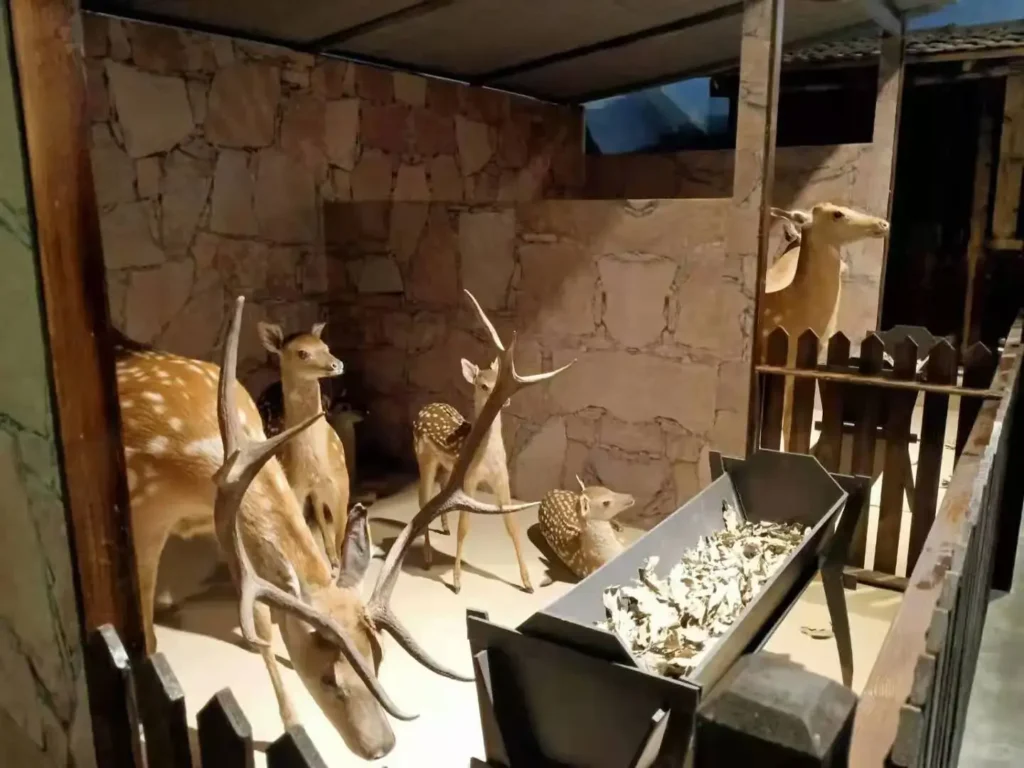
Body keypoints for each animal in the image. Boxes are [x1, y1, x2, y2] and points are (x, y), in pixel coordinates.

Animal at [413, 355, 531, 594]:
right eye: (483, 385)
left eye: (499, 379)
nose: (504, 400)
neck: (488, 458)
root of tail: (425, 408)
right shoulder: (469, 480)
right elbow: (464, 527)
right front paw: (457, 582)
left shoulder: (502, 479)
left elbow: (513, 526)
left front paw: (528, 583)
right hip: (424, 458)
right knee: (423, 501)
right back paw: (428, 558)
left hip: (447, 466)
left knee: (439, 491)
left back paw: (444, 528)